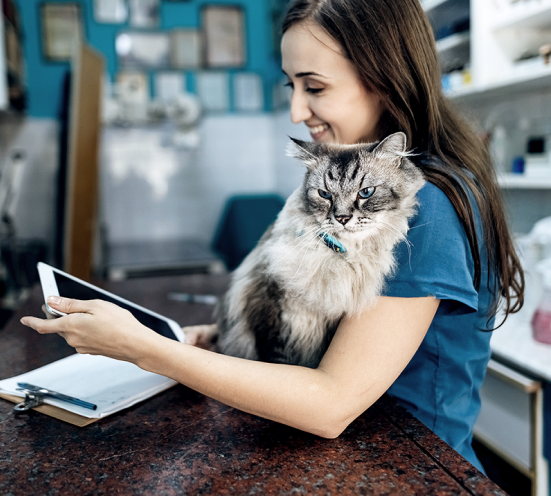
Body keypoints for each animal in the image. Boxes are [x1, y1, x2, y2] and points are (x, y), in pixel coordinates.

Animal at [215, 132, 422, 368]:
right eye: (324, 194)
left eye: (366, 192)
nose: (342, 218)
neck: (339, 258)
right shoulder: (272, 311)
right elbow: (278, 362)